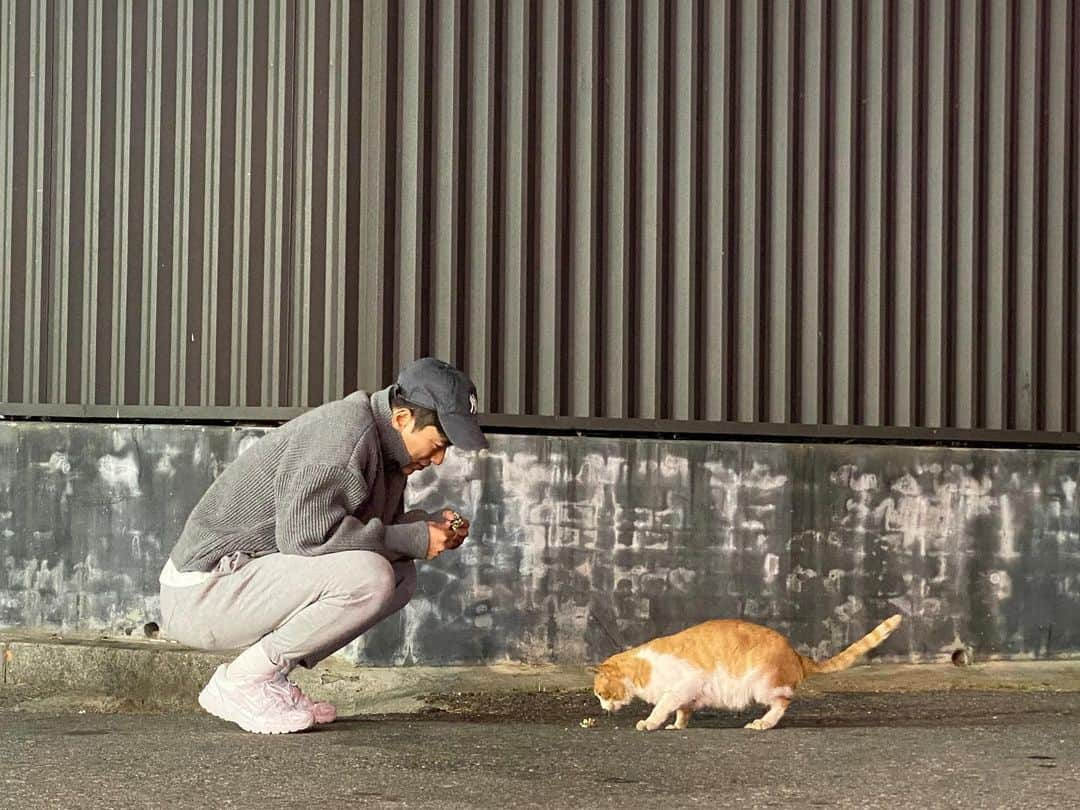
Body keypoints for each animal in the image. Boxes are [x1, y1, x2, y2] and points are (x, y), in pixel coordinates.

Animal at [591, 613, 902, 734]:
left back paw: (763, 723)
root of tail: (795, 653)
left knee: (783, 701)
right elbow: (682, 711)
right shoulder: (688, 695)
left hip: (762, 685)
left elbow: (662, 707)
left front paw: (650, 722)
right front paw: (678, 725)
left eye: (600, 694)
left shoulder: (682, 686)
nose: (603, 708)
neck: (641, 668)